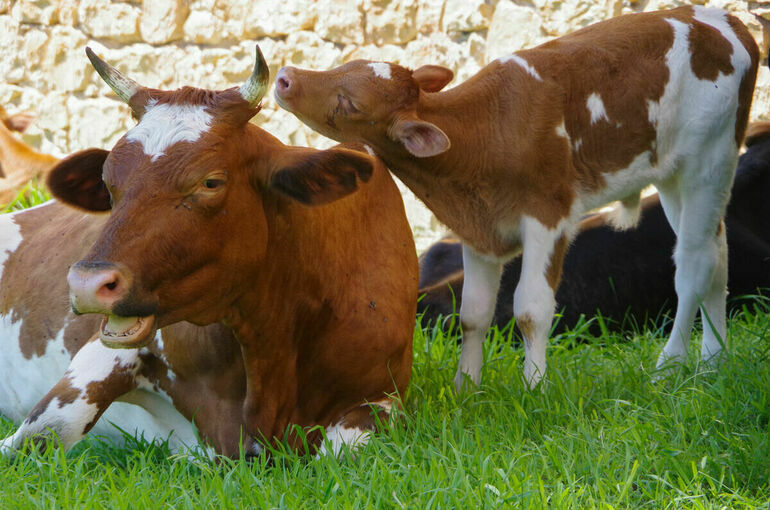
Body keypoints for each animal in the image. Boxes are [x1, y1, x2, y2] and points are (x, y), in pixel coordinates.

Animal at [1, 45, 420, 456]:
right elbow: (42, 433)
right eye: (107, 182)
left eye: (211, 182)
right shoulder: (105, 354)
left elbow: (345, 447)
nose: (87, 283)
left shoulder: (382, 397)